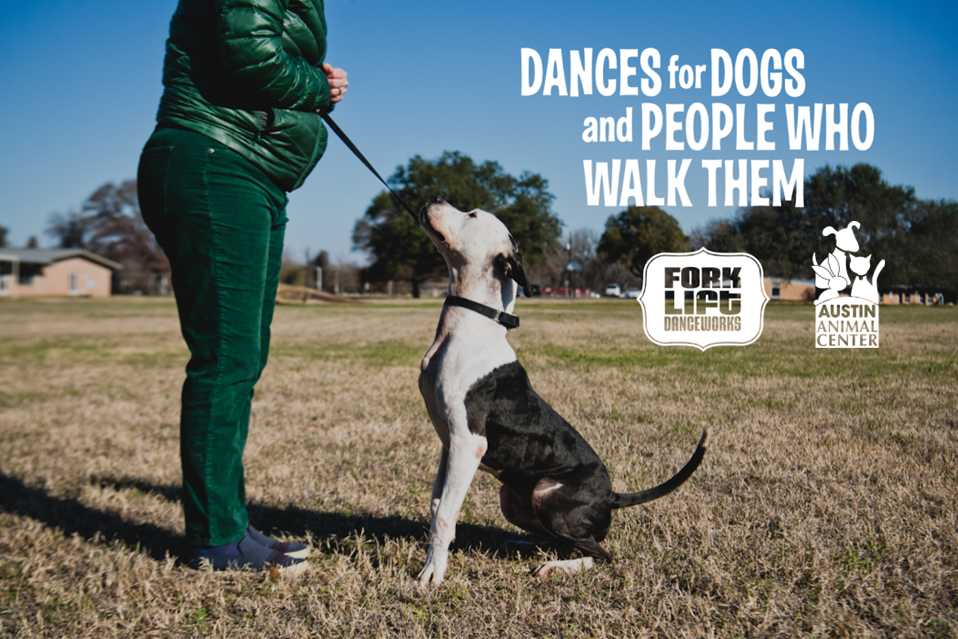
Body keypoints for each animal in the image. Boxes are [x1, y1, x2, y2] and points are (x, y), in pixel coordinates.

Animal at [416, 198, 708, 588]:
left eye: (472, 215)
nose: (434, 199)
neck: (472, 323)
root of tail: (612, 496)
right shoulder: (450, 445)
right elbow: (438, 505)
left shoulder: (468, 443)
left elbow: (446, 515)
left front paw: (433, 571)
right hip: (513, 499)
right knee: (565, 541)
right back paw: (524, 545)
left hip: (547, 496)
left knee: (600, 554)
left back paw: (557, 566)